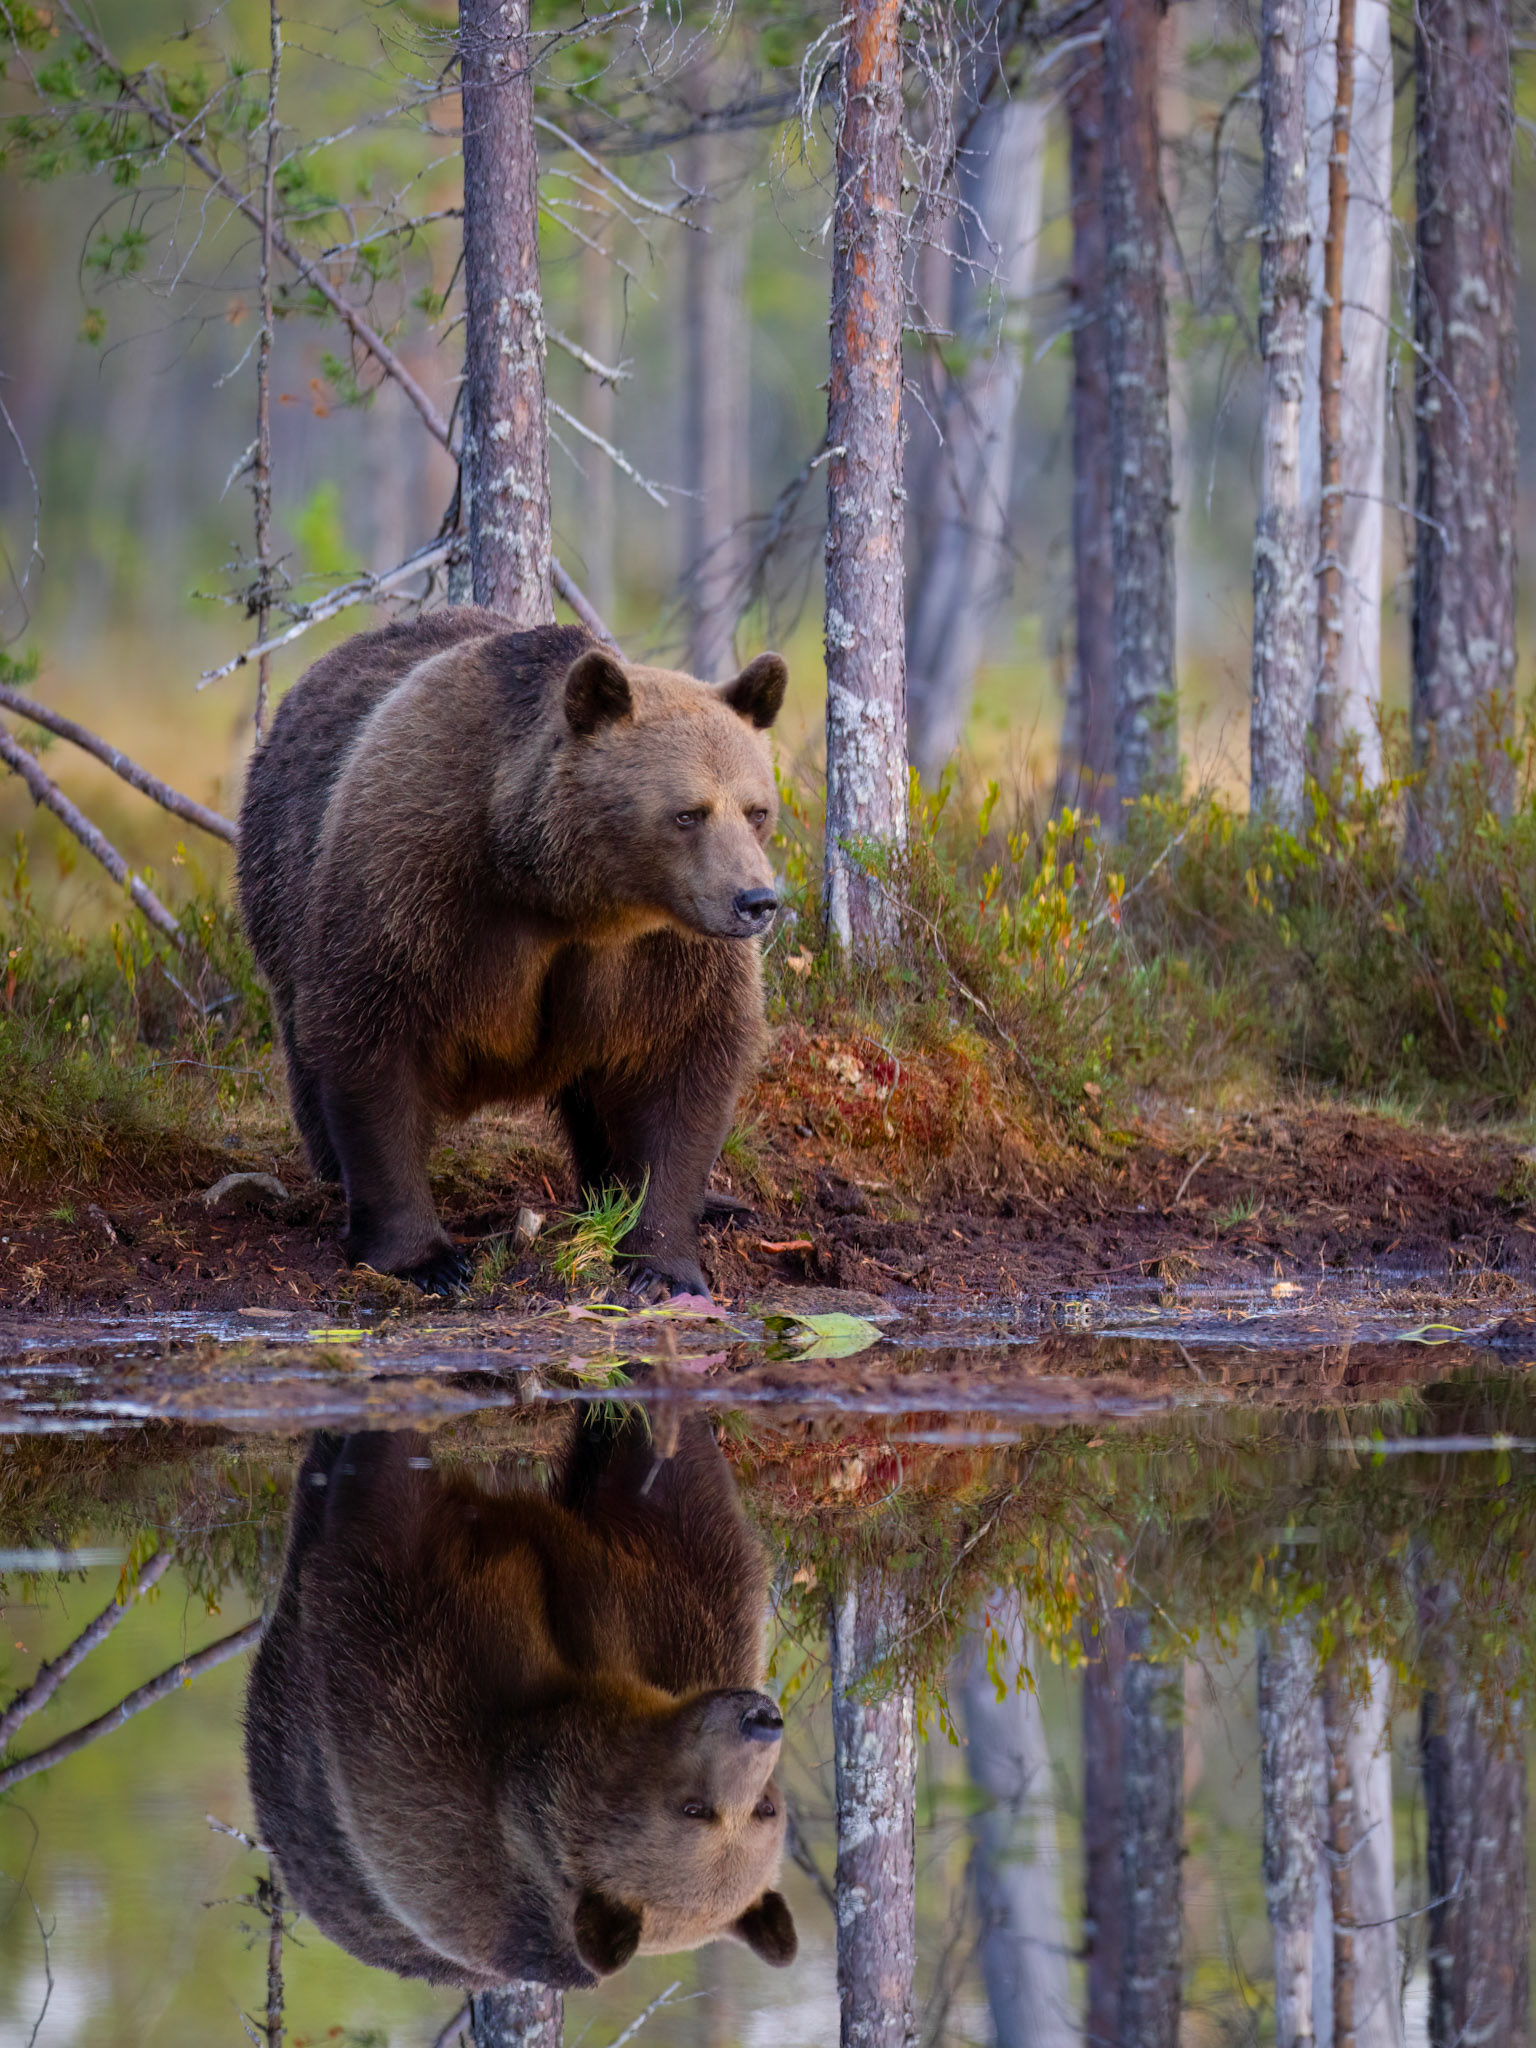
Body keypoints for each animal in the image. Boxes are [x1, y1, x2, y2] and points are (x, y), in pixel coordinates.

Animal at [236, 608, 787, 1295]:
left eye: (757, 809)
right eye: (688, 813)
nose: (756, 900)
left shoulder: (665, 951)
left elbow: (684, 1063)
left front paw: (662, 1262)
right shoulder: (416, 884)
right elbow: (373, 1042)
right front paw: (426, 1259)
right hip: (281, 875)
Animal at [243, 1407, 798, 1990]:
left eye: (759, 1809)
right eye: (697, 1810)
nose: (761, 1720)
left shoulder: (426, 1749)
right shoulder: (679, 1636)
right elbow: (674, 1507)